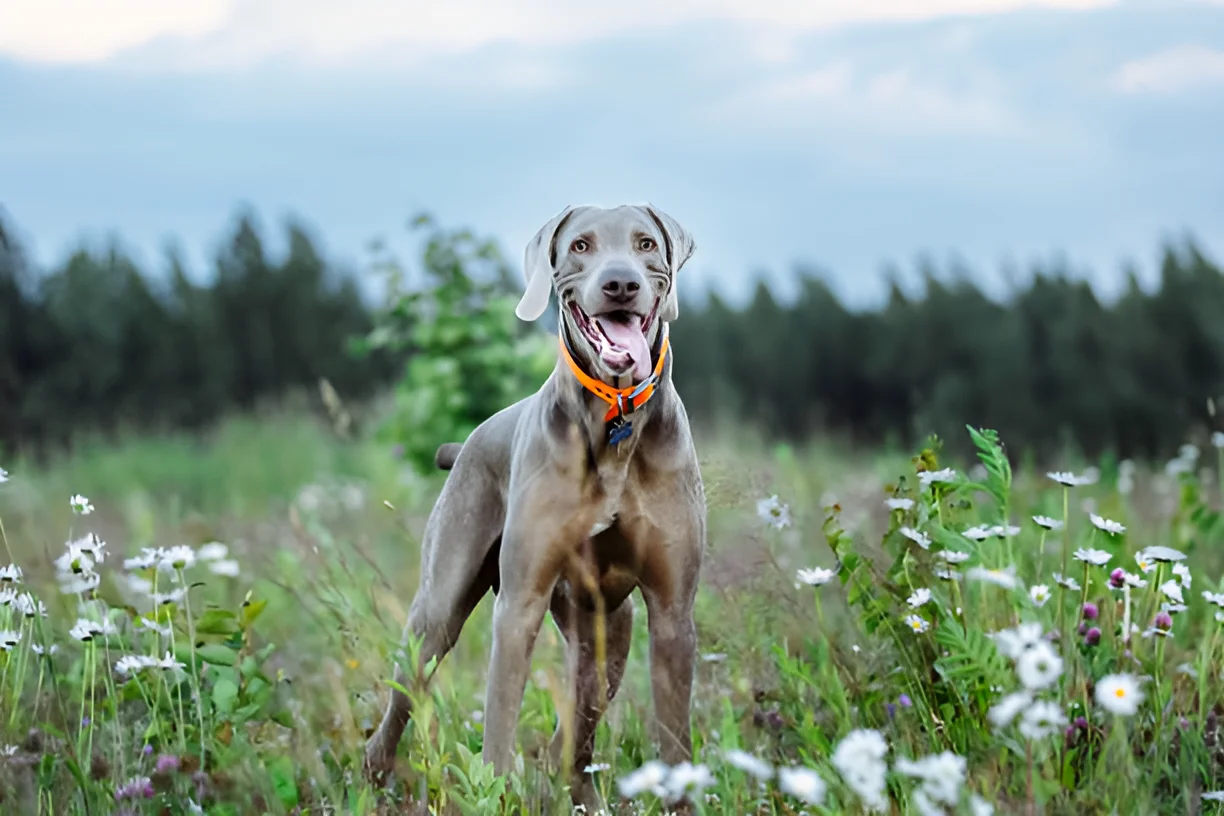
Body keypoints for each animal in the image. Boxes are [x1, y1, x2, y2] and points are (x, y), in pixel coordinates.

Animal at [359, 203, 709, 812]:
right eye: (581, 246)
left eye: (645, 244)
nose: (621, 284)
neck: (615, 422)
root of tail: (466, 442)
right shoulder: (519, 603)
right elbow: (499, 725)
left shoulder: (671, 614)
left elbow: (674, 740)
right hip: (437, 610)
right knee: (400, 707)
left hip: (606, 632)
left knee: (575, 734)